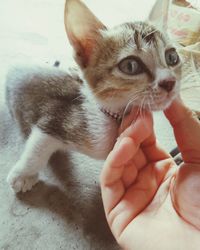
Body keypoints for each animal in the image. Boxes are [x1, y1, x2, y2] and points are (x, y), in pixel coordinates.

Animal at [5, 0, 181, 193]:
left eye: (172, 57)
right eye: (130, 66)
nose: (170, 82)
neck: (114, 116)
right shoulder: (57, 117)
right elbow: (38, 144)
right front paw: (23, 174)